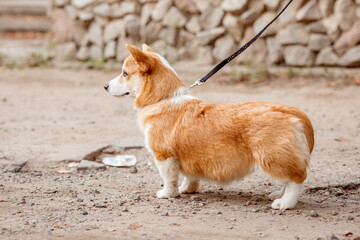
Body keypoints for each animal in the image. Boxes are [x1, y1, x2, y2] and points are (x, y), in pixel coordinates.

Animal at [102, 44, 314, 209]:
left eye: (125, 74)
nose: (104, 86)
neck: (163, 97)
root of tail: (294, 113)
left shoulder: (163, 156)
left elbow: (169, 179)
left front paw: (167, 194)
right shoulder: (187, 157)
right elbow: (189, 177)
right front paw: (186, 189)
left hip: (271, 158)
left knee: (296, 179)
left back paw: (284, 203)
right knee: (289, 179)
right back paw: (278, 194)